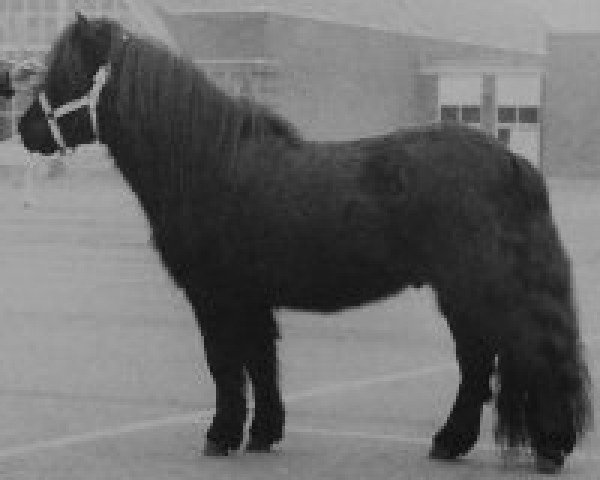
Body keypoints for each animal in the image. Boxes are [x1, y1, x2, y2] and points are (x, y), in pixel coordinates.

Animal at [17, 14, 592, 472]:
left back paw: (539, 447)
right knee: (483, 362)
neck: (210, 164)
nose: (24, 130)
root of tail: (513, 163)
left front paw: (220, 436)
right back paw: (457, 444)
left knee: (501, 358)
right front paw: (262, 434)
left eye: (66, 74)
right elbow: (259, 362)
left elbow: (225, 366)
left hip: (473, 290)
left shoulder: (216, 297)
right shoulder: (249, 299)